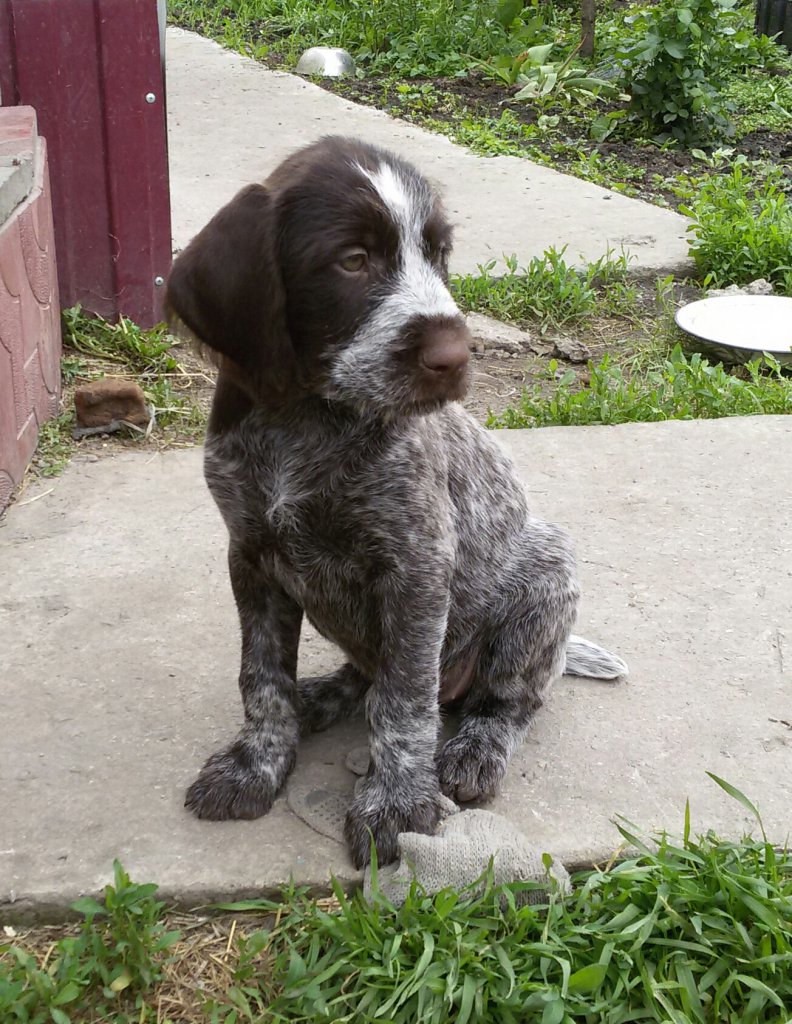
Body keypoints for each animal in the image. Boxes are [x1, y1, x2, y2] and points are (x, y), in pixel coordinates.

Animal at [166, 136, 626, 869]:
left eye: (440, 254)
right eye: (352, 260)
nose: (456, 355)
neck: (307, 416)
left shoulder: (416, 568)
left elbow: (406, 701)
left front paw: (397, 803)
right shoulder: (251, 557)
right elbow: (262, 680)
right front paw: (257, 763)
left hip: (548, 574)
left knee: (507, 701)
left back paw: (473, 748)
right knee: (364, 675)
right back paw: (321, 695)